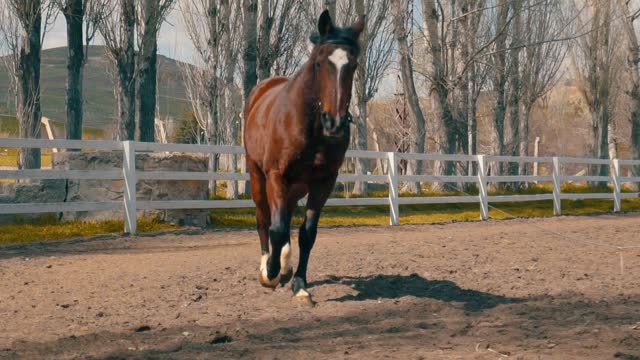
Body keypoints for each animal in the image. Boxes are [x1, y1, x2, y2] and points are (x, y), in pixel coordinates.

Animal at [244, 9, 364, 306]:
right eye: (319, 64)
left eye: (353, 65)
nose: (335, 123)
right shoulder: (276, 176)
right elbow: (276, 229)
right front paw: (271, 273)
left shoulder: (324, 182)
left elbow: (307, 233)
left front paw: (299, 284)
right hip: (258, 176)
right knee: (264, 219)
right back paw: (268, 267)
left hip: (296, 187)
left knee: (285, 218)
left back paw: (285, 267)